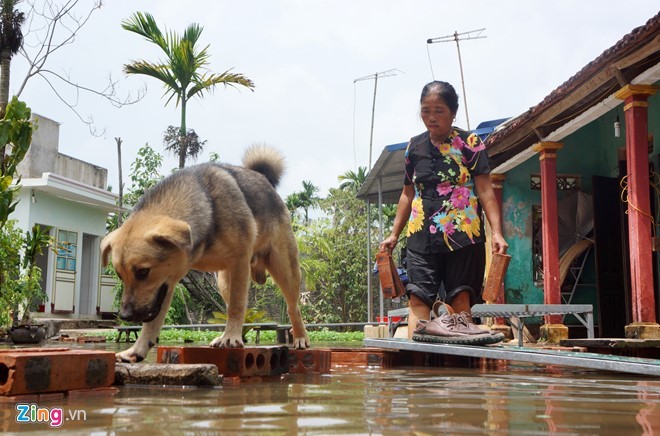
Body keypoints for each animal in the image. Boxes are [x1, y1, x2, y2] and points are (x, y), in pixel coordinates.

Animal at [101, 145, 312, 362]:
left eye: (142, 272)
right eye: (119, 275)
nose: (125, 316)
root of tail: (262, 178)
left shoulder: (239, 261)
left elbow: (237, 306)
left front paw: (231, 337)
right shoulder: (167, 283)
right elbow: (152, 323)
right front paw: (137, 350)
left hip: (284, 270)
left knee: (293, 307)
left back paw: (299, 338)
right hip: (224, 281)